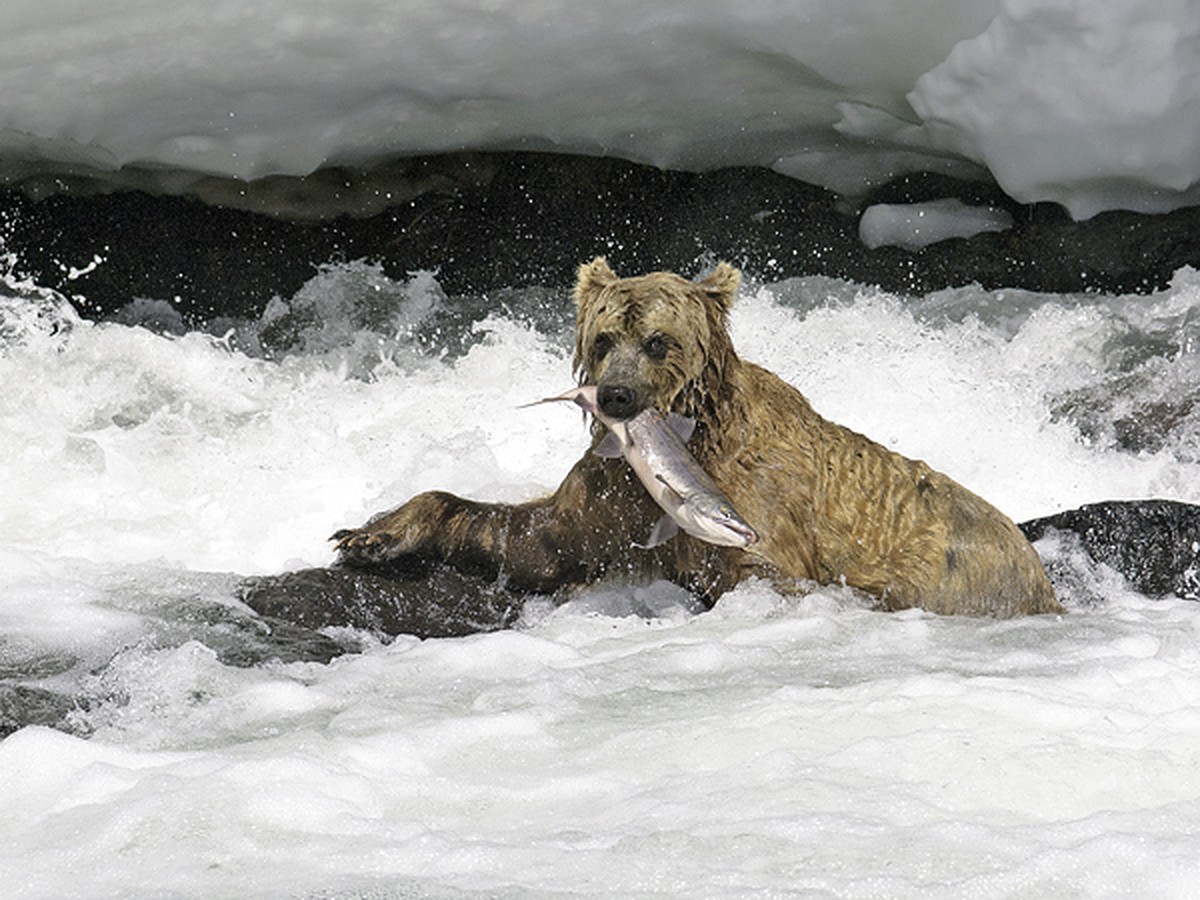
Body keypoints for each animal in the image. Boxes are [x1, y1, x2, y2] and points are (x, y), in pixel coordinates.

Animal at [336, 256, 1060, 619]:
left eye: (658, 341)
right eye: (605, 338)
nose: (617, 396)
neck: (690, 434)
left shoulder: (755, 495)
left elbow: (765, 573)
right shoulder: (613, 492)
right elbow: (540, 540)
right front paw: (372, 532)